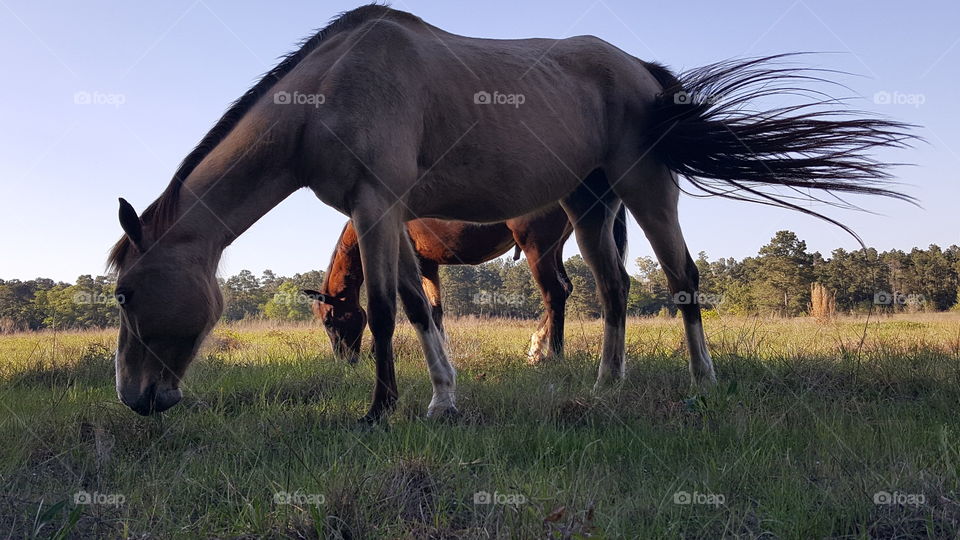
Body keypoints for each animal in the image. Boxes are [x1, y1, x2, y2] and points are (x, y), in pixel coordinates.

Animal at [304, 205, 628, 364]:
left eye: (330, 321)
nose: (344, 360)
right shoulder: (428, 264)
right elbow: (435, 311)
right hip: (556, 247)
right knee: (571, 288)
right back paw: (536, 348)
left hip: (538, 247)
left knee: (554, 293)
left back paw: (552, 355)